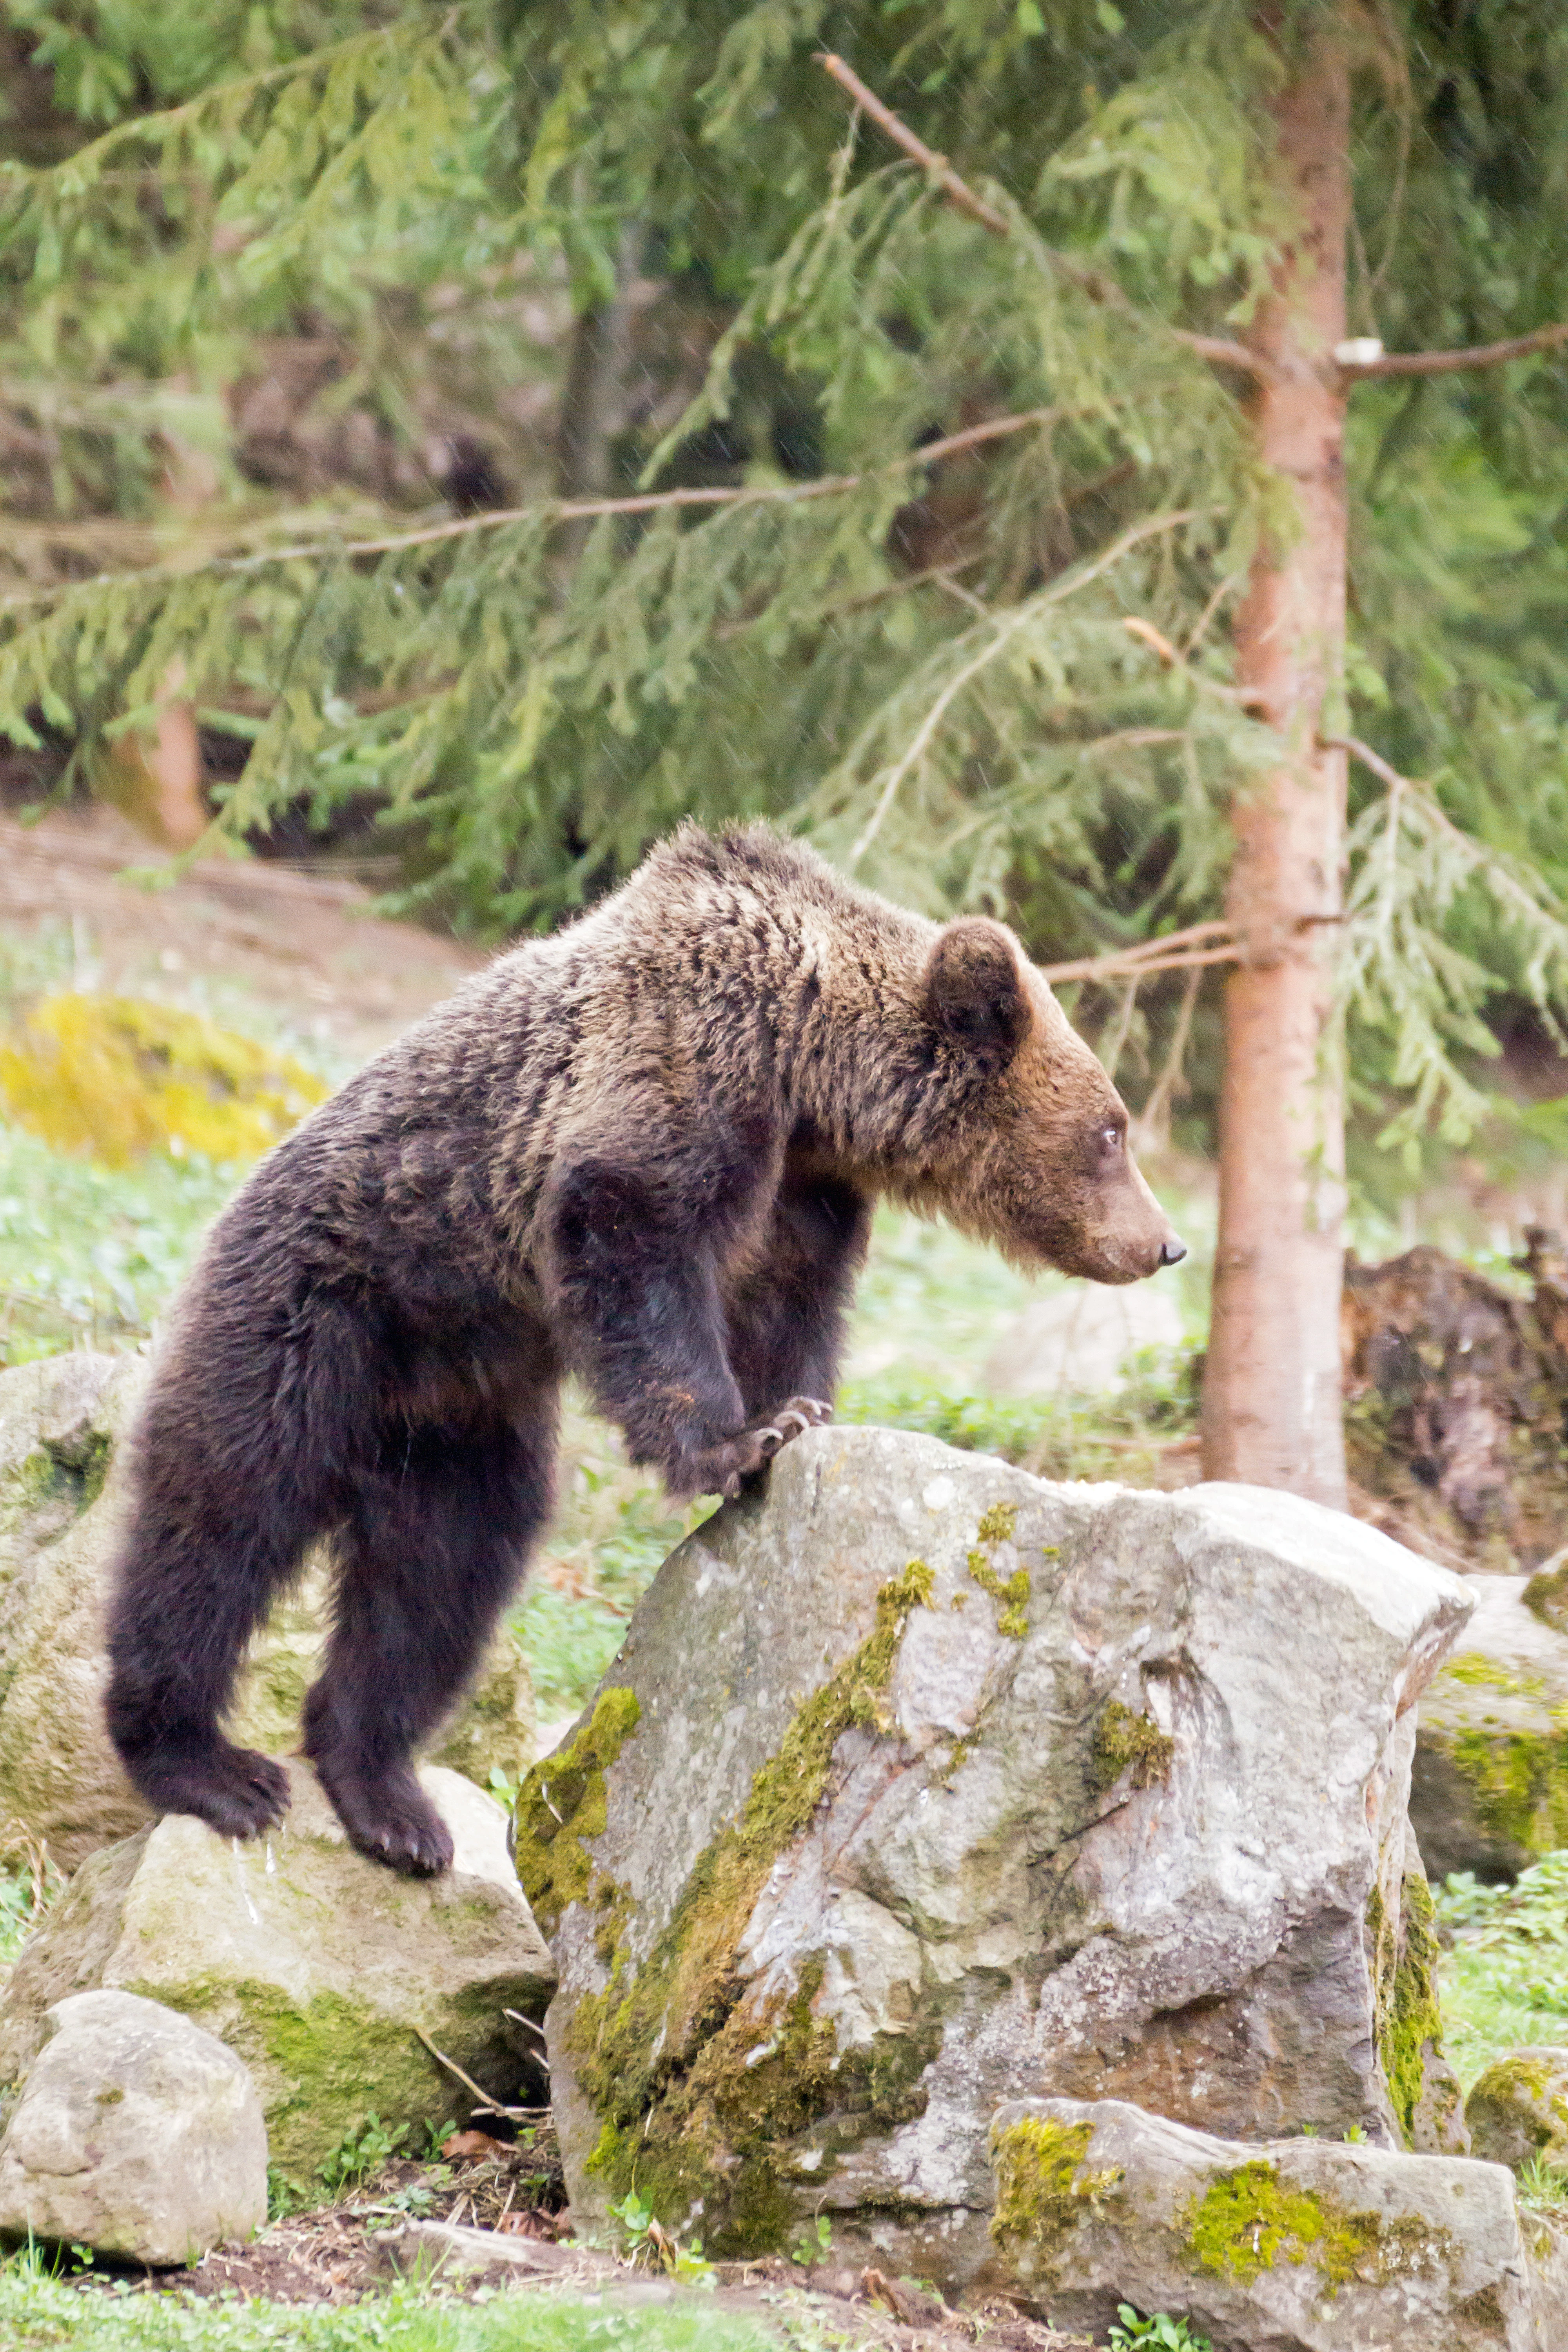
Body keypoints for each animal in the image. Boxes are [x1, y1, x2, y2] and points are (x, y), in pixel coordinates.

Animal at [104, 822, 1184, 1876]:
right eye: (1111, 1130)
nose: (1165, 1244)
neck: (810, 1071)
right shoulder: (680, 1069)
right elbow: (633, 1232)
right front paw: (735, 1443)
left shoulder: (804, 1194)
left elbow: (787, 1312)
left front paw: (801, 1409)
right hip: (321, 1314)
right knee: (220, 1521)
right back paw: (206, 1764)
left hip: (460, 1425)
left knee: (440, 1575)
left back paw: (390, 1801)